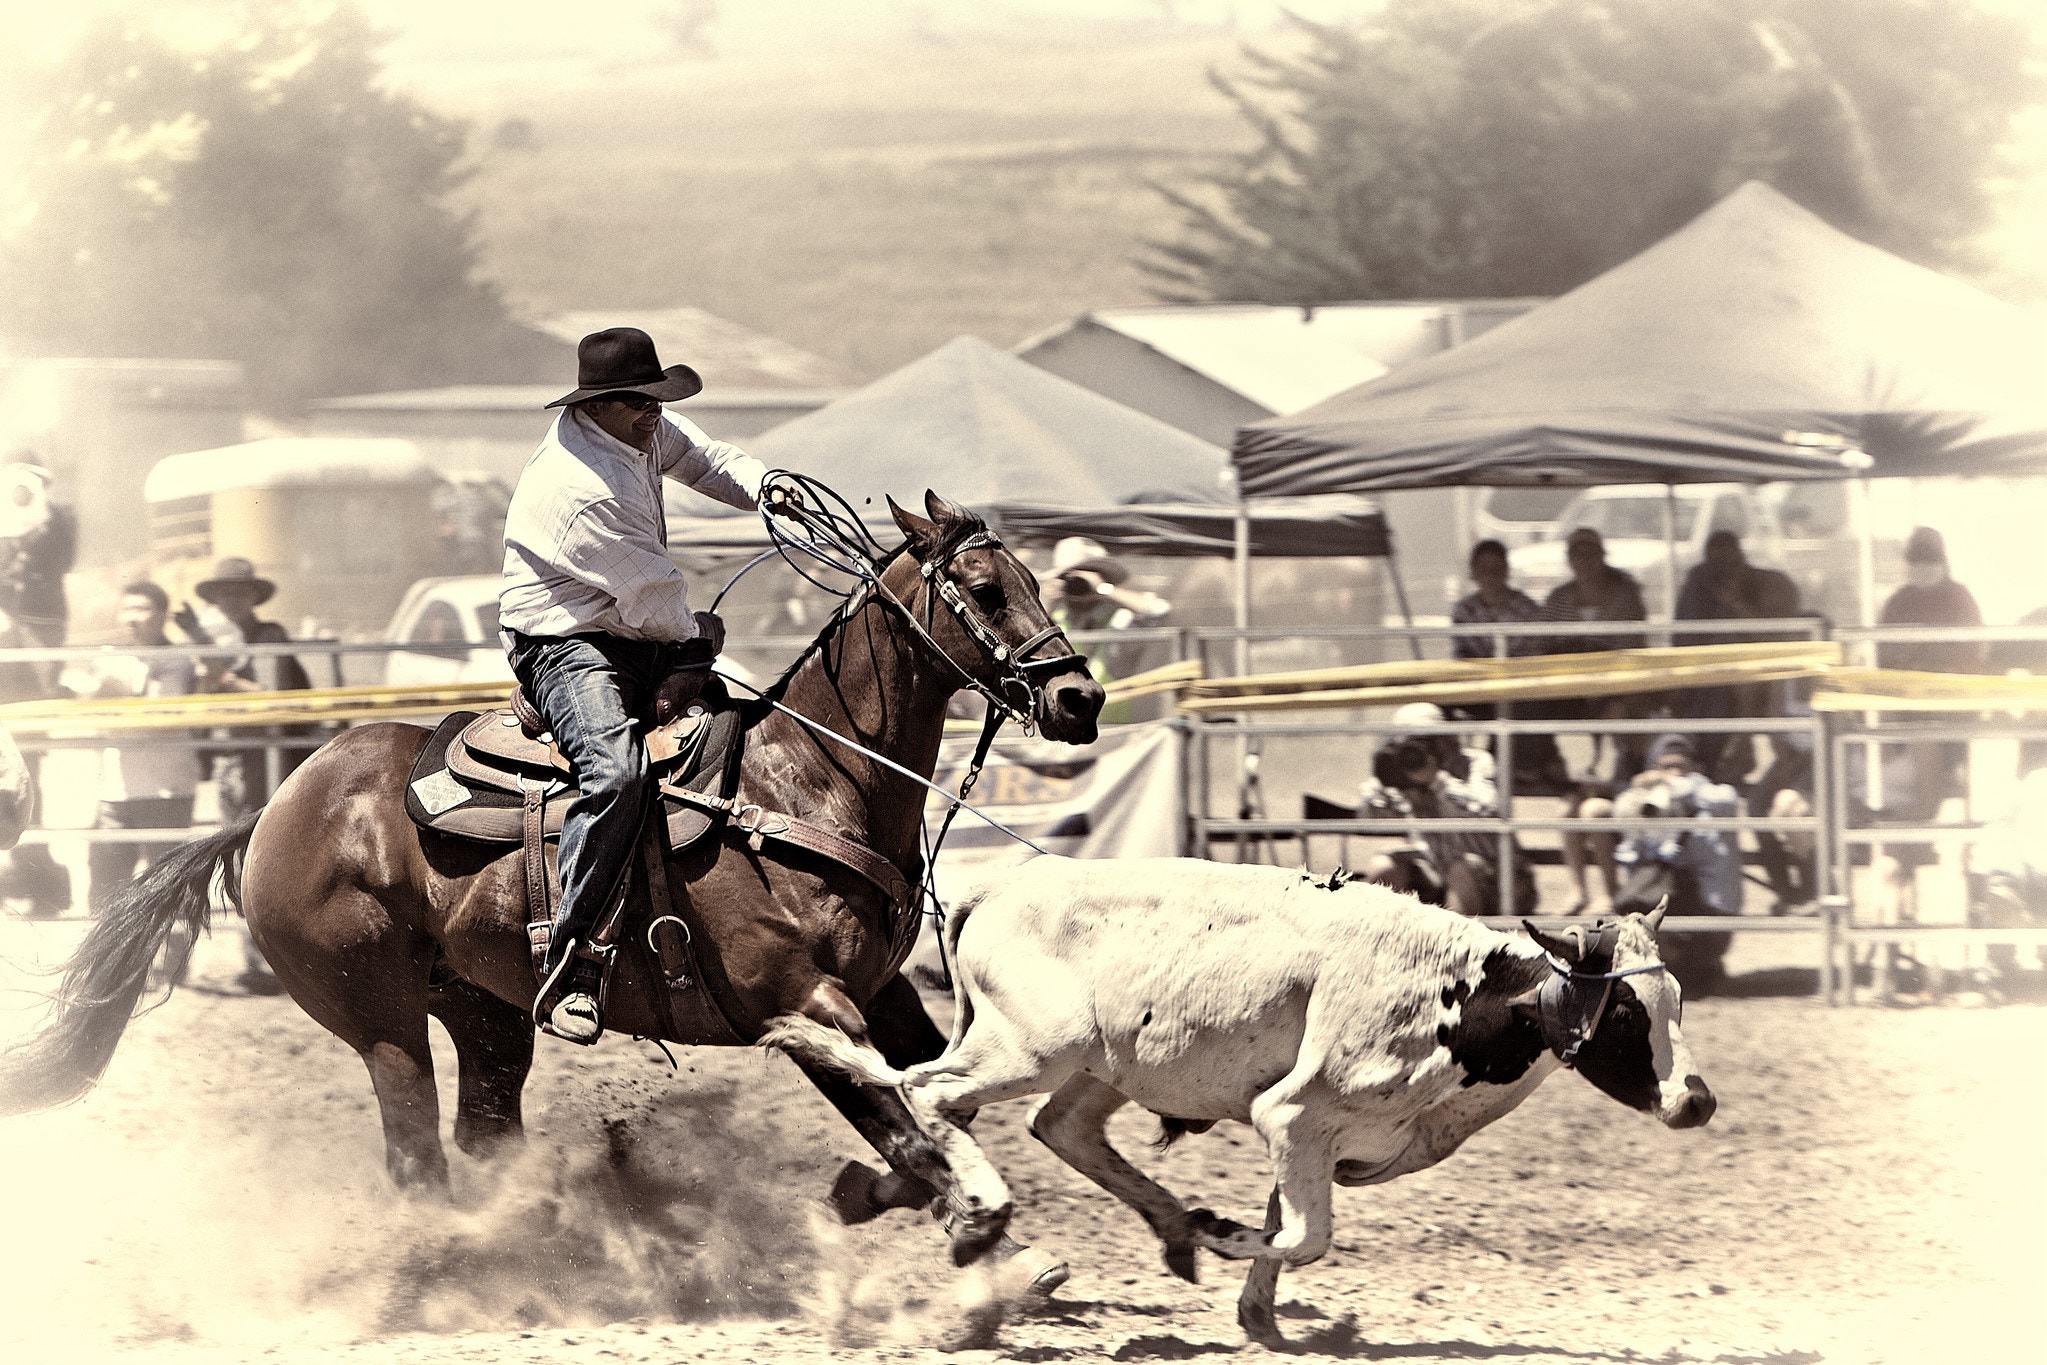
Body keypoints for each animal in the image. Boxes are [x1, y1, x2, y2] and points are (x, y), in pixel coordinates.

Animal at [0, 493, 1105, 1268]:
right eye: (985, 589)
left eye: (1035, 577)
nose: (1079, 698)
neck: (807, 778)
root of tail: (276, 807)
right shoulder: (801, 1004)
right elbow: (908, 1132)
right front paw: (953, 1225)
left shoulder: (878, 991)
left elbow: (936, 1115)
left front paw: (948, 1222)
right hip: (379, 1017)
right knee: (417, 1155)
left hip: (486, 1013)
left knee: (481, 1136)